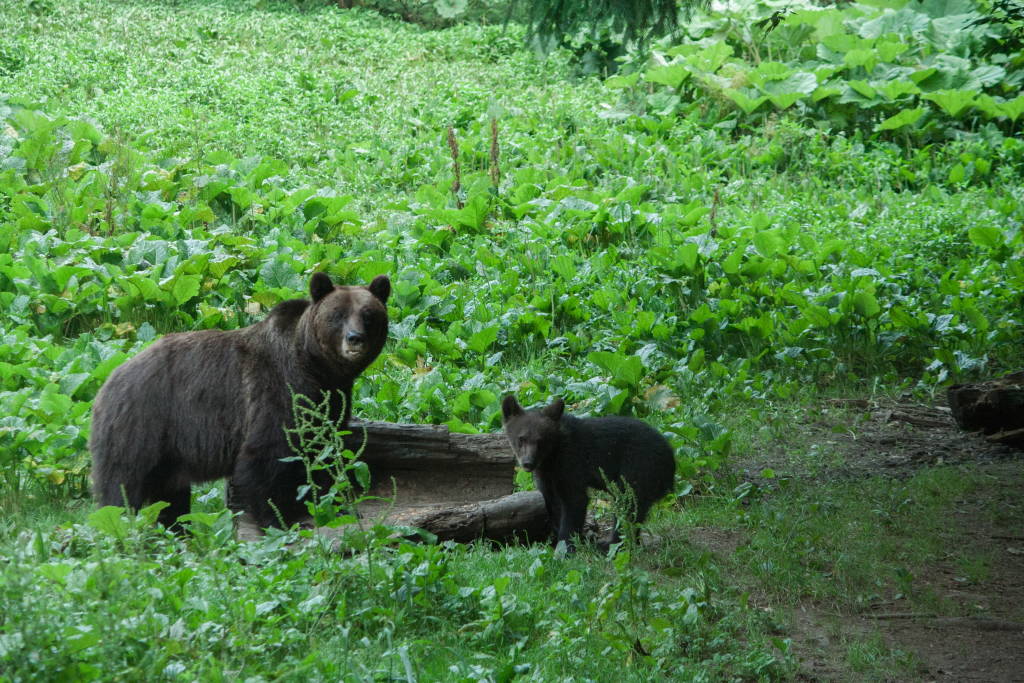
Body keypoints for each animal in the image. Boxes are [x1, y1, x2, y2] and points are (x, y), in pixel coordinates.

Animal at [90, 270, 391, 528]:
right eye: (337, 315)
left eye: (368, 315)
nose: (355, 338)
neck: (315, 366)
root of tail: (108, 379)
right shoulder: (276, 389)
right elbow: (267, 456)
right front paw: (279, 518)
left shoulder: (330, 398)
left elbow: (322, 450)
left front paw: (333, 503)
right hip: (142, 425)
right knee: (122, 487)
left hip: (167, 451)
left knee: (169, 497)